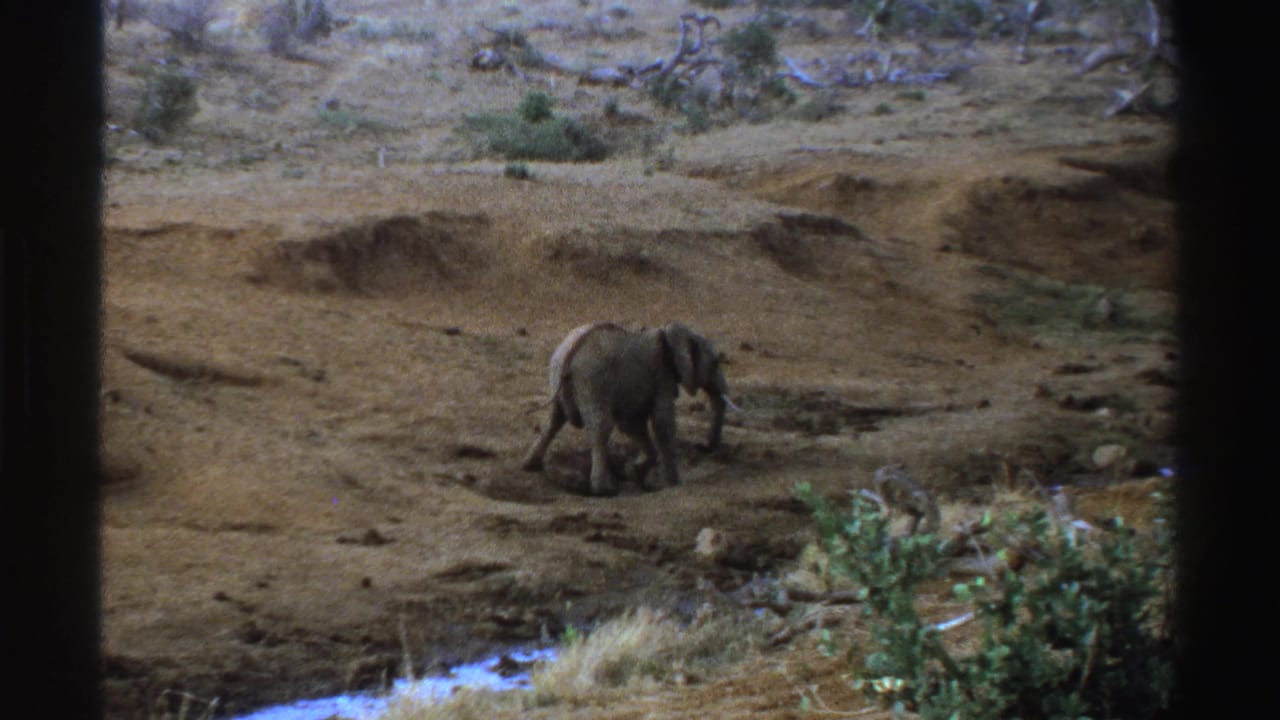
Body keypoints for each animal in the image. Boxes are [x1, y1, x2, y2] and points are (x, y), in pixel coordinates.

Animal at [521, 322, 737, 496]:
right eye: (715, 363)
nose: (702, 447)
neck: (670, 331)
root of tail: (570, 353)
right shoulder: (662, 377)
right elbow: (662, 423)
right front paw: (674, 484)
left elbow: (632, 425)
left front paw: (632, 472)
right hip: (592, 382)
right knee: (601, 428)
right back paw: (605, 490)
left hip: (561, 377)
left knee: (554, 421)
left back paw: (530, 465)